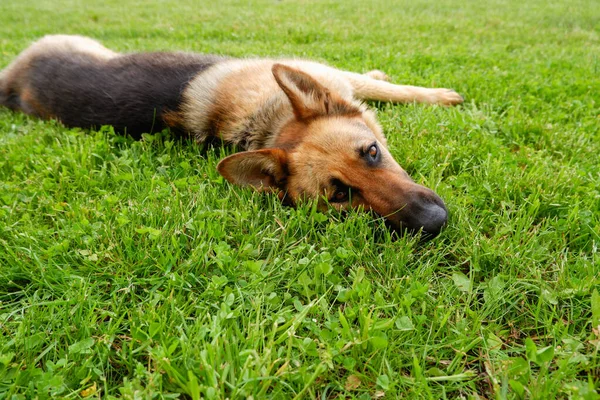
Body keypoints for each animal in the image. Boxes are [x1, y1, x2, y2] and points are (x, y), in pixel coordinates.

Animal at [0, 34, 464, 238]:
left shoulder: (333, 78)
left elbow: (389, 89)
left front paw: (431, 93)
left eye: (372, 152)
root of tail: (12, 82)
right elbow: (390, 89)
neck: (268, 122)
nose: (435, 222)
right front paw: (438, 94)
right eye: (340, 196)